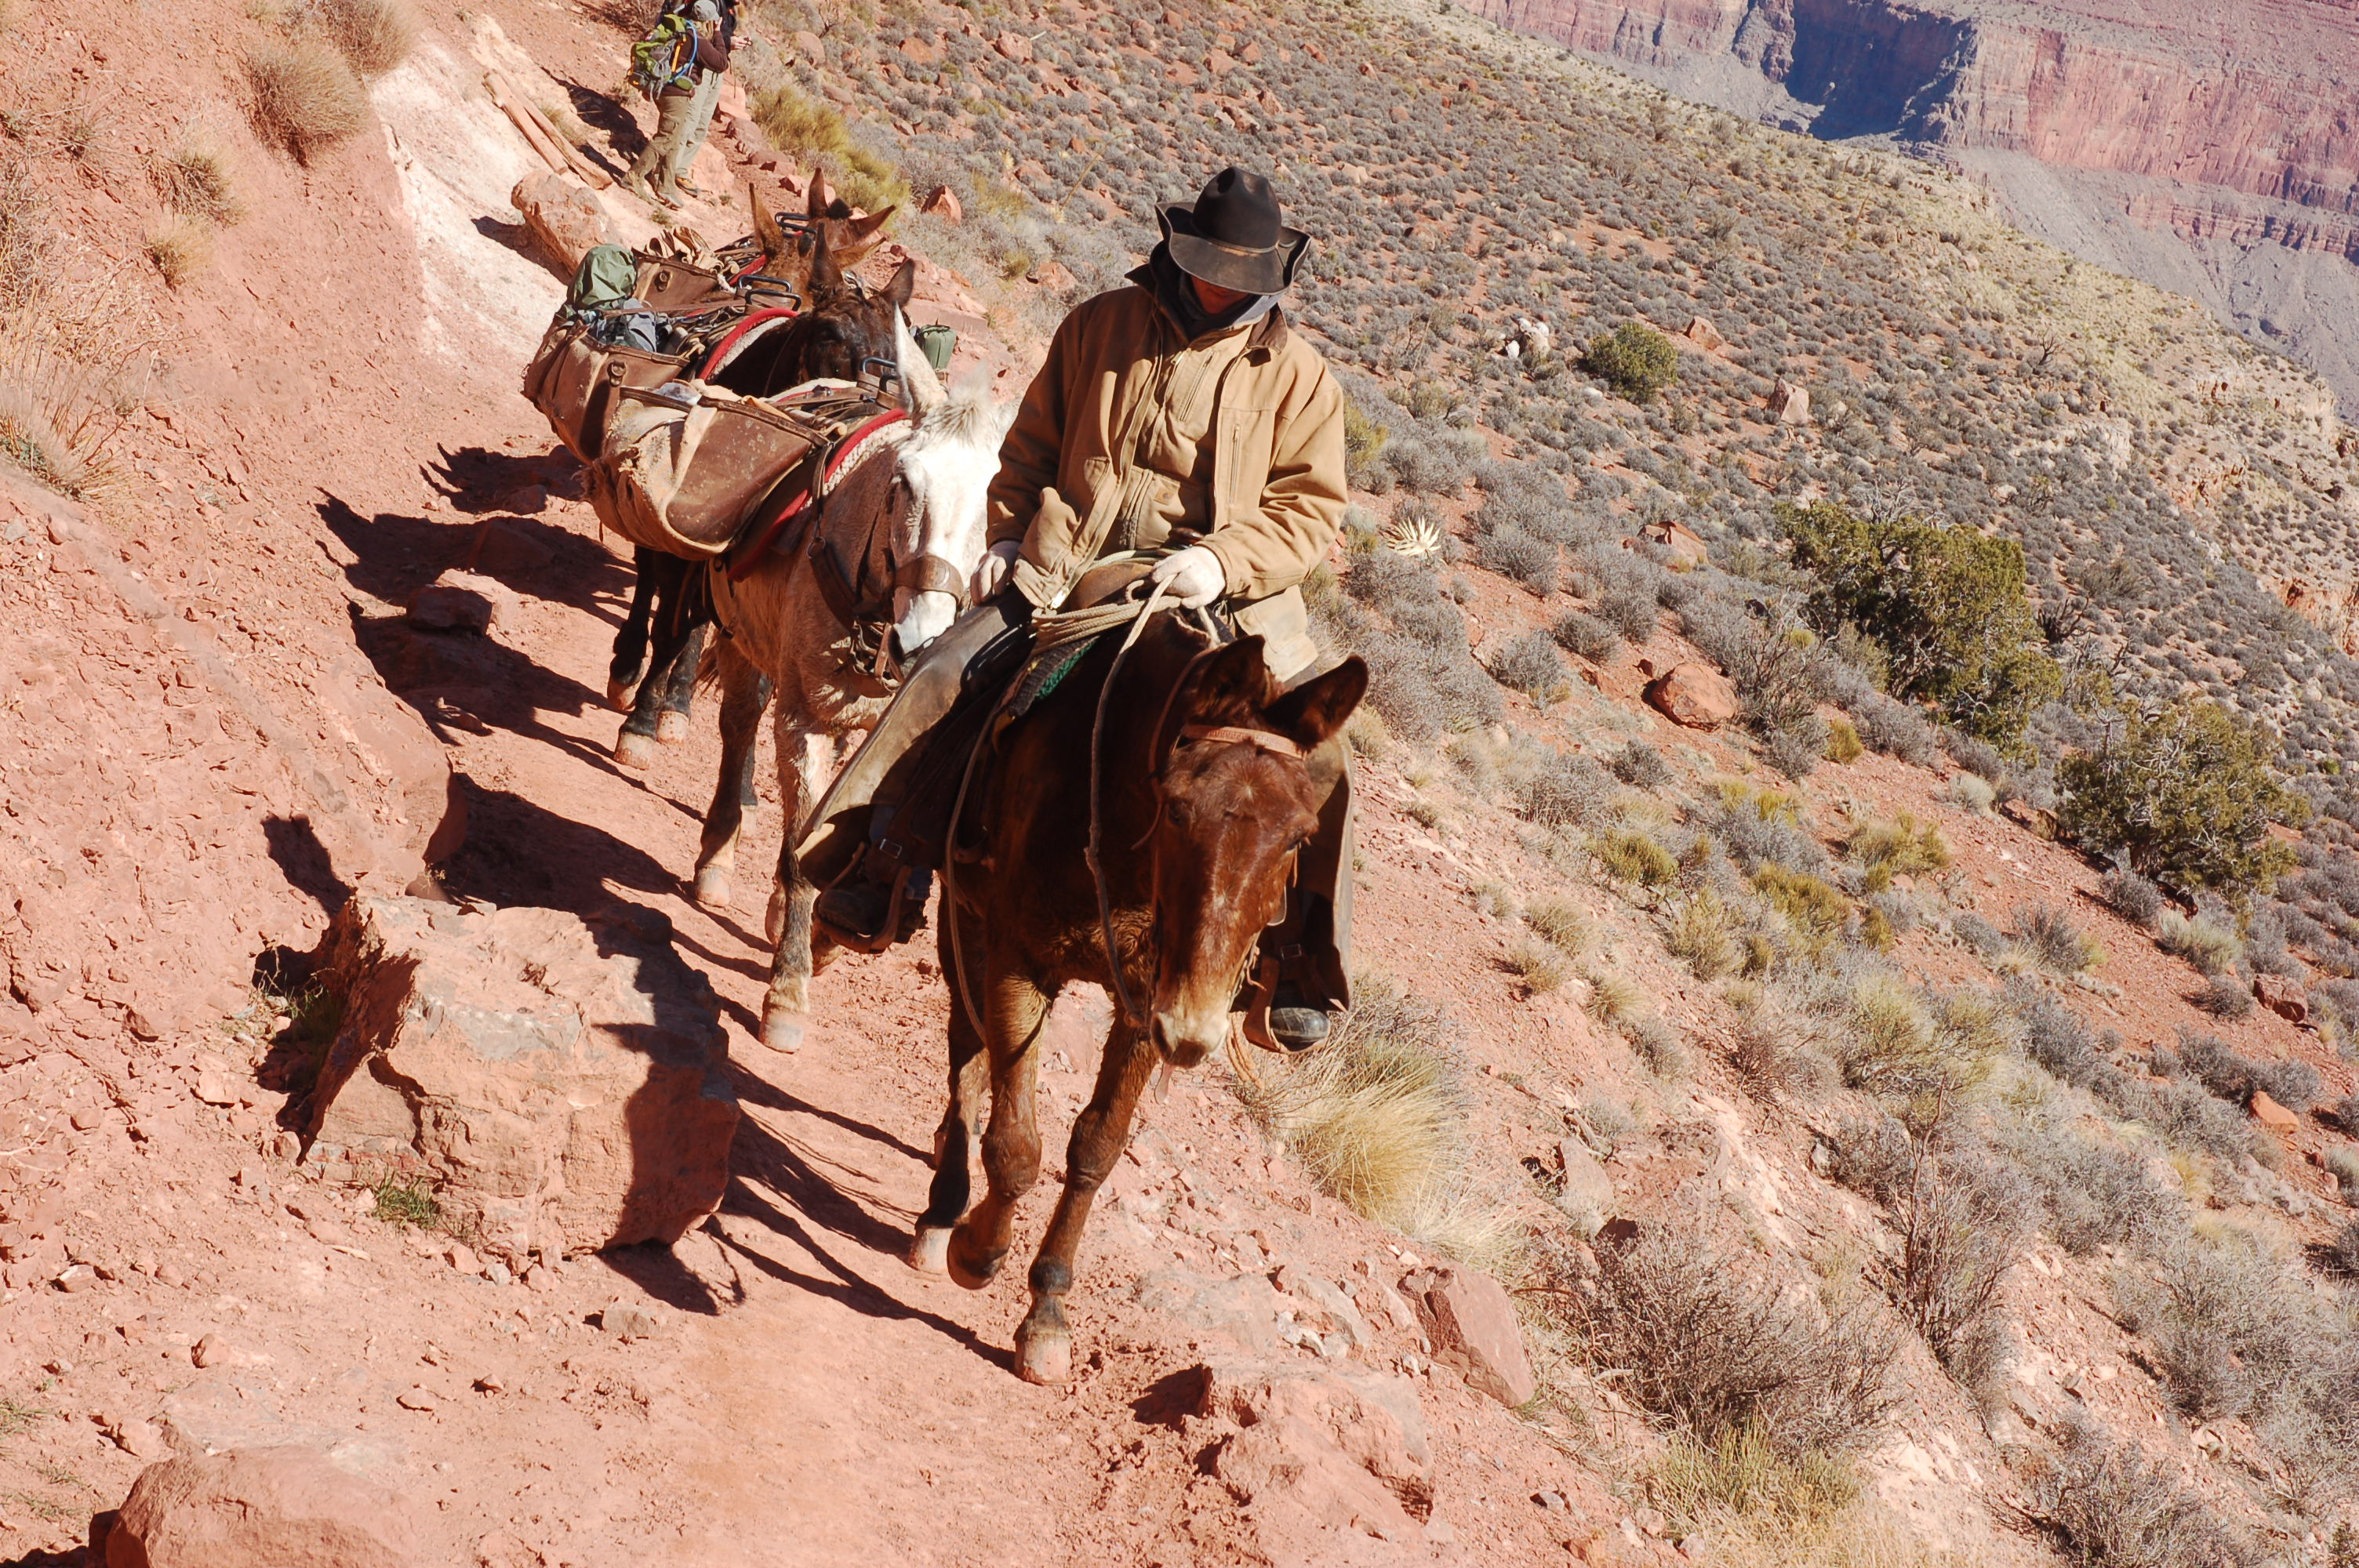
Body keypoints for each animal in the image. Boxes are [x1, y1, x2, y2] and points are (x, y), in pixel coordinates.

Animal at [696, 312, 1016, 1049]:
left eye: (998, 505)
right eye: (903, 484)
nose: (920, 635)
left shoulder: (900, 739)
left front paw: (825, 939)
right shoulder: (802, 717)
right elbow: (799, 845)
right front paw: (789, 987)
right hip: (741, 645)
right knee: (738, 731)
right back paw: (718, 859)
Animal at [907, 610, 1366, 1383]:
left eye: (1301, 836)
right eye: (1177, 809)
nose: (1197, 1033)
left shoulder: (1149, 1005)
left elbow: (1096, 1145)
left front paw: (1047, 1309)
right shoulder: (1018, 961)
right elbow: (1017, 1143)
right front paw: (978, 1250)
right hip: (961, 914)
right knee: (964, 1047)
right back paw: (944, 1207)